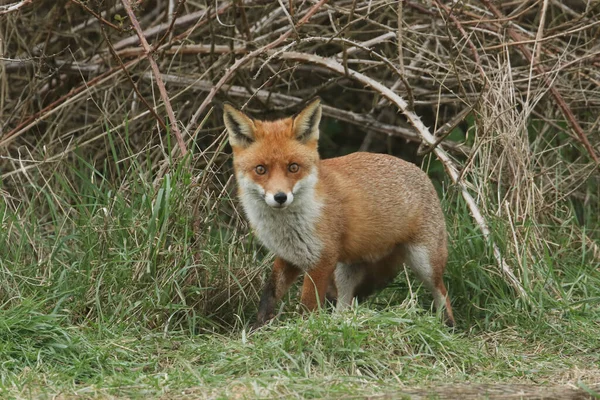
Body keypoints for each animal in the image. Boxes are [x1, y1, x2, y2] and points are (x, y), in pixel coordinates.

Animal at [225, 98, 454, 326]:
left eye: (293, 167)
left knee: (443, 293)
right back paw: (340, 323)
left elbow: (307, 305)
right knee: (344, 305)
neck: (285, 228)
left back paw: (448, 326)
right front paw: (257, 327)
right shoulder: (288, 256)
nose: (280, 197)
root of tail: (420, 171)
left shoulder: (322, 260)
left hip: (425, 262)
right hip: (346, 270)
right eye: (260, 169)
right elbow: (269, 294)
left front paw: (307, 329)